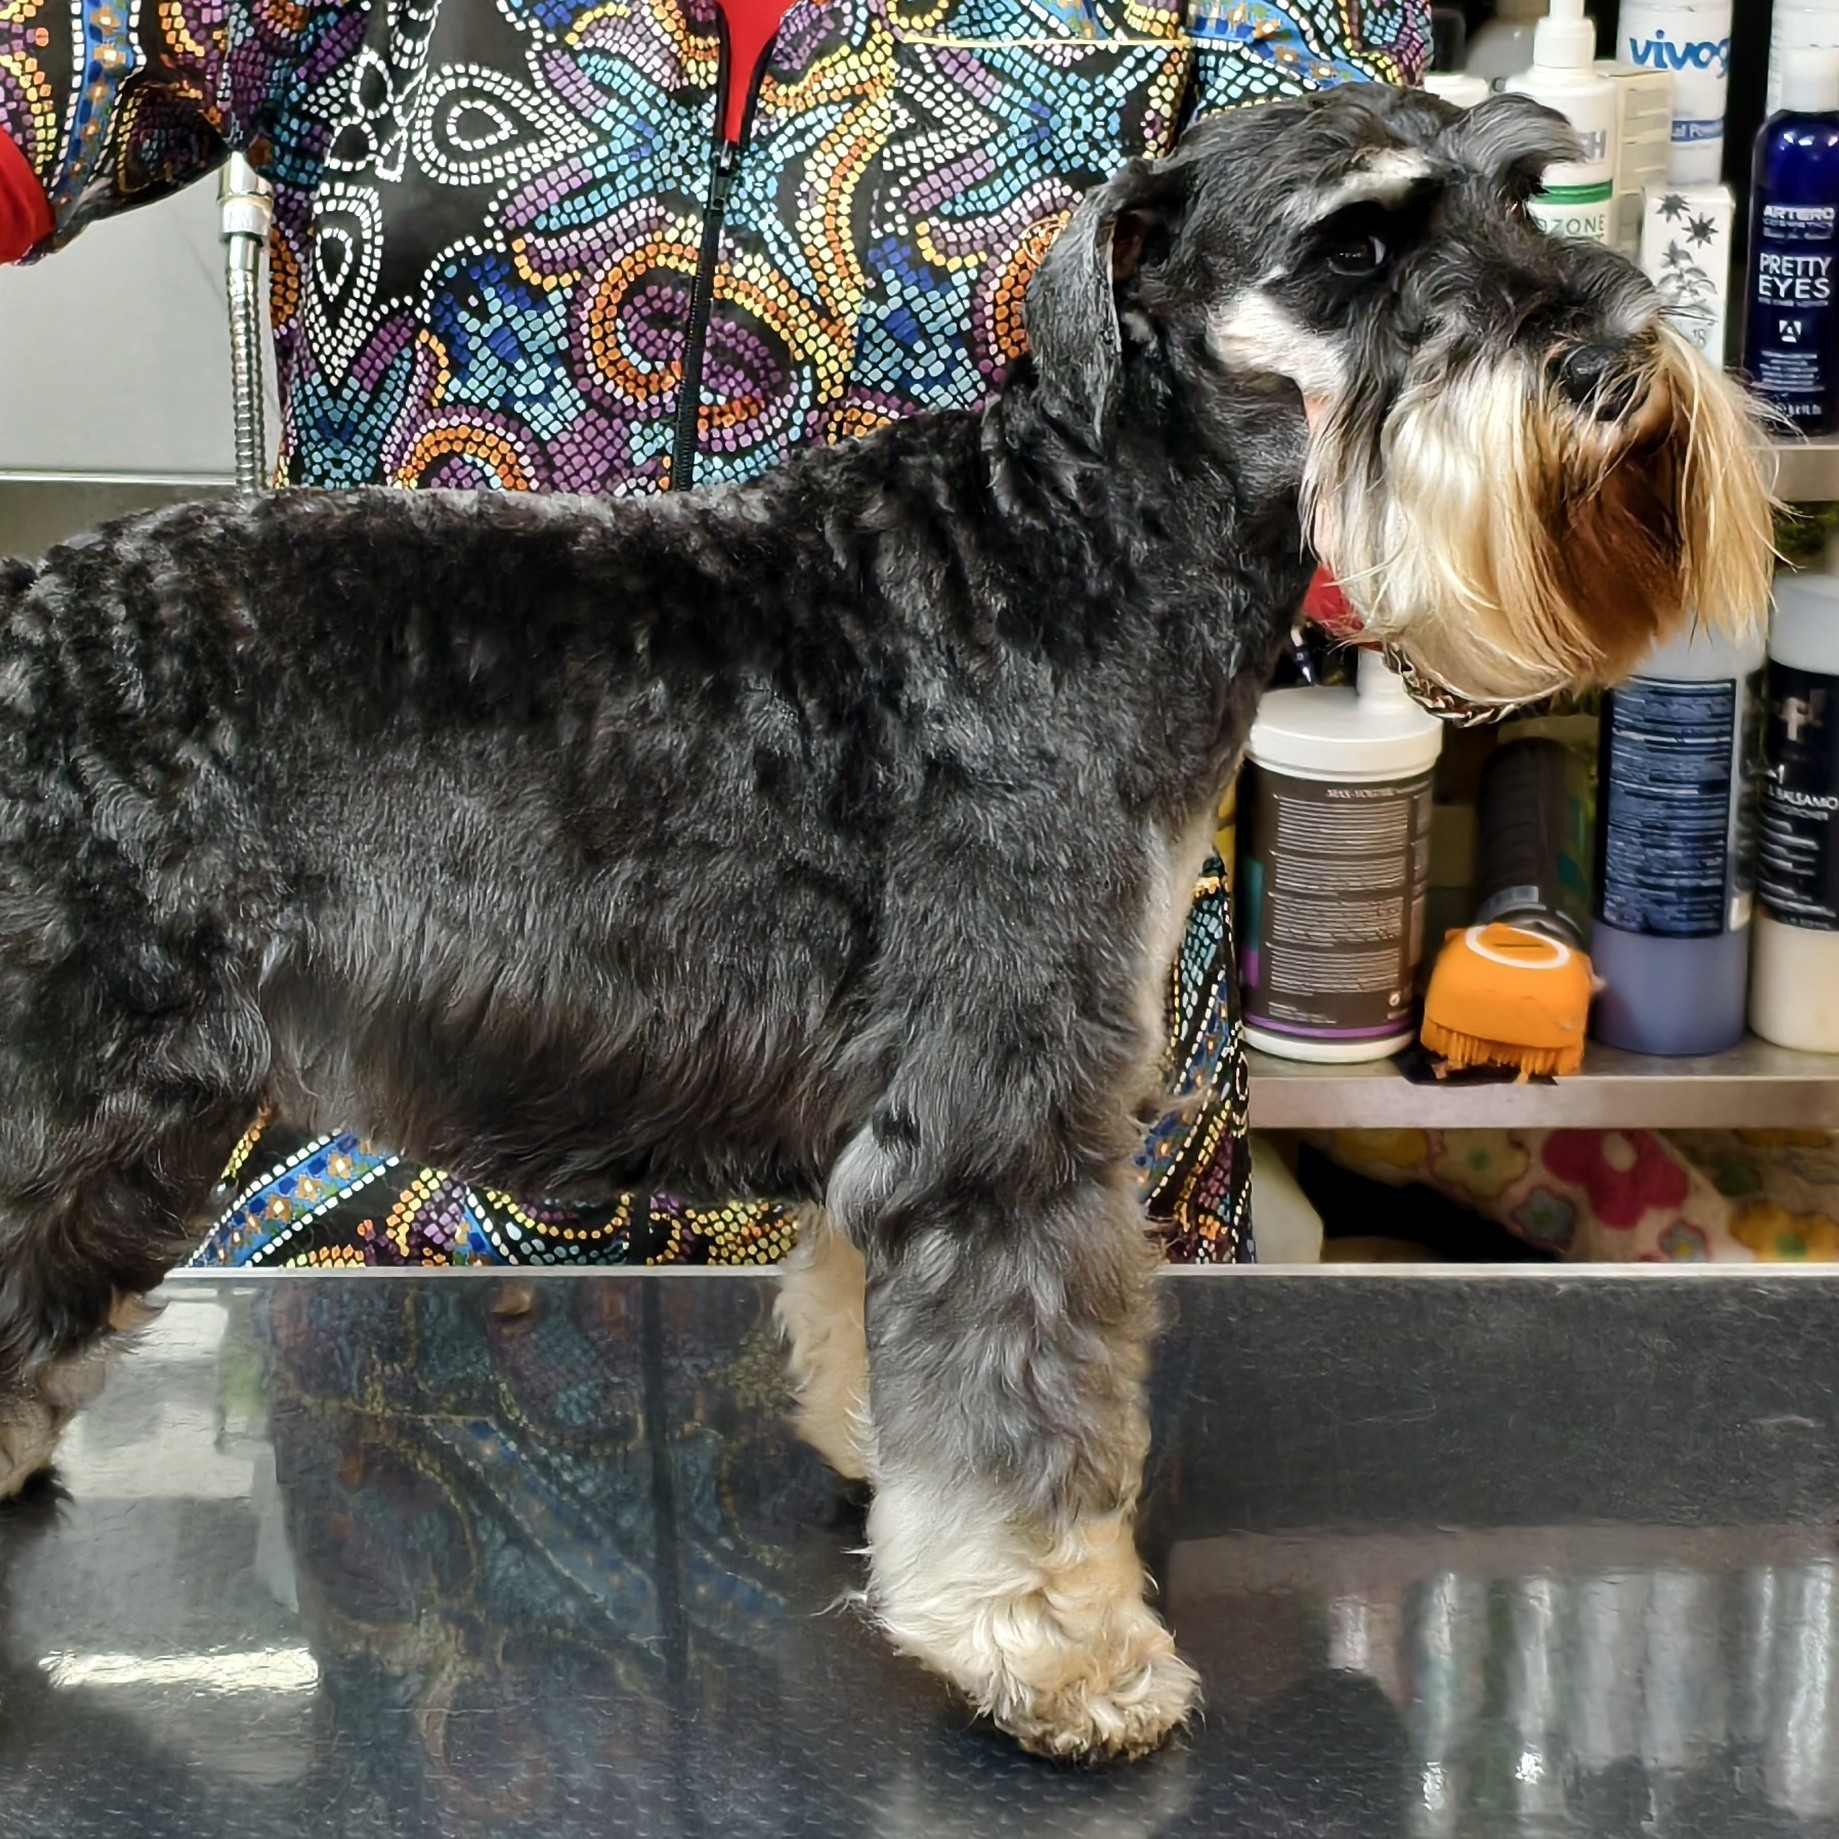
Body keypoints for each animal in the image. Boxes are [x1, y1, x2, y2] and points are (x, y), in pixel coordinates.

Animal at [0, 85, 1771, 1761]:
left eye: (1521, 195)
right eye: (1354, 247)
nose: (1617, 360)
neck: (1087, 539)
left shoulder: (920, 1110)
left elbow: (881, 1323)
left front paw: (884, 1466)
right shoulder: (1008, 1110)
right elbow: (1029, 1417)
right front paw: (1061, 1649)